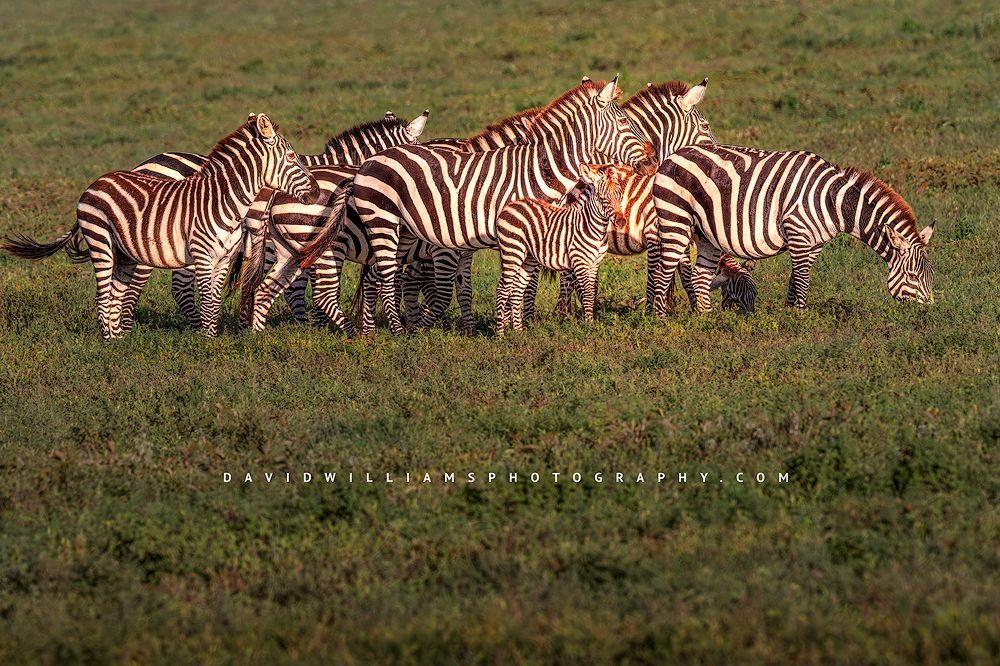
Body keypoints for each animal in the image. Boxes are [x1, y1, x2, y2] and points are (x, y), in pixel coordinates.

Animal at [3, 114, 319, 339]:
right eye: (292, 158)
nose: (317, 192)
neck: (225, 202)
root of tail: (97, 181)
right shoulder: (203, 257)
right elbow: (206, 301)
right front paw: (207, 344)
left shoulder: (223, 258)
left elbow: (215, 302)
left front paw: (212, 338)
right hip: (100, 241)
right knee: (102, 295)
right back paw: (107, 344)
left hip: (124, 252)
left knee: (116, 294)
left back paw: (119, 342)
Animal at [495, 163, 629, 335]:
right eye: (602, 198)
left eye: (620, 196)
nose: (621, 222)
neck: (593, 228)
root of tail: (511, 205)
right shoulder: (580, 261)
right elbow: (586, 294)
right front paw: (589, 326)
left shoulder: (594, 263)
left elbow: (592, 292)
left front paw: (590, 323)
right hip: (512, 251)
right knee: (503, 288)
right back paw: (500, 334)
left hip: (528, 258)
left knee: (517, 289)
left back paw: (519, 332)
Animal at [650, 144, 935, 314]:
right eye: (912, 276)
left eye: (931, 276)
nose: (928, 314)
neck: (832, 202)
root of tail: (673, 156)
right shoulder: (797, 231)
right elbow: (802, 278)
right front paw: (800, 315)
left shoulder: (815, 243)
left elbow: (796, 277)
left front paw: (789, 312)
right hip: (675, 219)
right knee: (664, 270)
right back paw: (660, 317)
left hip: (705, 234)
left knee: (700, 275)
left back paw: (706, 318)